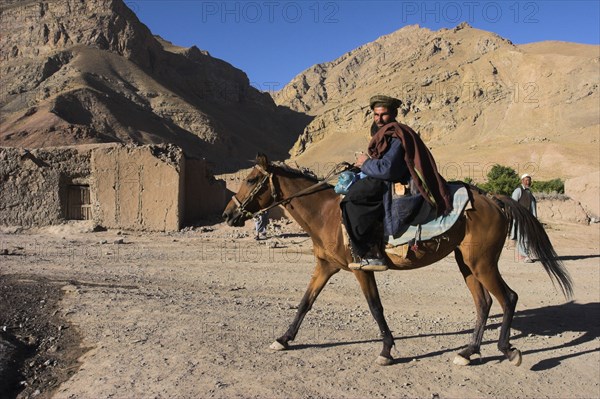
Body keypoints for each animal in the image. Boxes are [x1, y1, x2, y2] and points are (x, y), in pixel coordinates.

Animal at [221, 155, 572, 368]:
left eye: (251, 180)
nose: (228, 214)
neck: (326, 213)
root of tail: (492, 198)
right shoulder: (325, 266)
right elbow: (306, 302)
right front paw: (283, 339)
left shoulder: (362, 268)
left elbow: (375, 307)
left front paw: (387, 350)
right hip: (468, 263)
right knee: (484, 302)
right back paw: (468, 352)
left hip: (483, 262)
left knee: (508, 297)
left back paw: (506, 350)